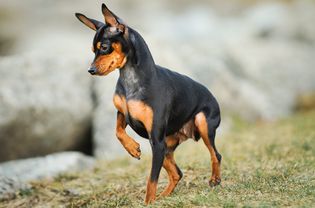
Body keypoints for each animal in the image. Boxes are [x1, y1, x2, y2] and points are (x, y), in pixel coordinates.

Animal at [75, 3, 222, 205]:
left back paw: (215, 179)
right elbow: (117, 131)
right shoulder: (123, 114)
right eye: (92, 50)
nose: (91, 70)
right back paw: (163, 197)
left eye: (104, 47)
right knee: (177, 173)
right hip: (165, 146)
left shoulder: (155, 138)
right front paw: (133, 148)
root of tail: (213, 96)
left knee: (216, 155)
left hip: (199, 125)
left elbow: (152, 180)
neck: (131, 80)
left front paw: (147, 203)